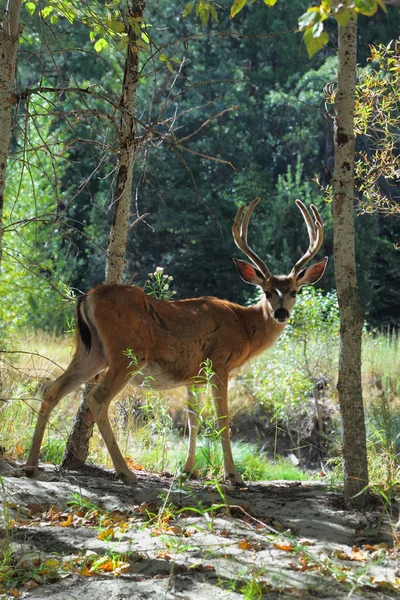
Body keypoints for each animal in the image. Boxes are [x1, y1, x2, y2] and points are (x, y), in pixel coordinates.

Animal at [25, 199, 326, 486]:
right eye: (266, 292)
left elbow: (193, 421)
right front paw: (233, 476)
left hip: (92, 351)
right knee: (97, 399)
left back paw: (31, 466)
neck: (244, 326)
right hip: (127, 353)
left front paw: (187, 469)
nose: (281, 313)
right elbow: (222, 419)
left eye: (295, 292)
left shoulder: (194, 377)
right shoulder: (219, 363)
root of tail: (87, 297)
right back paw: (125, 472)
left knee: (52, 389)